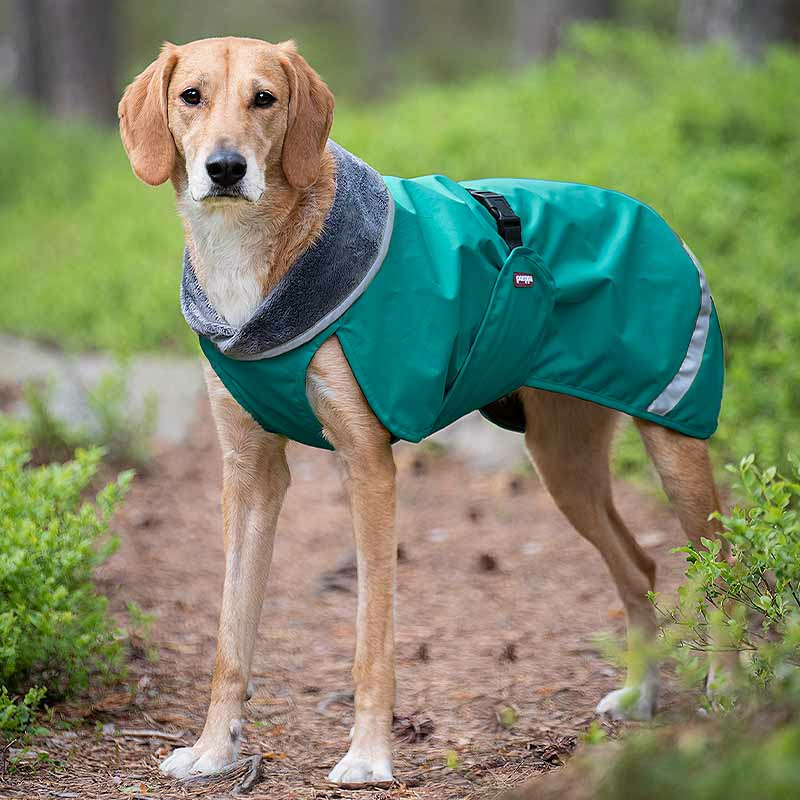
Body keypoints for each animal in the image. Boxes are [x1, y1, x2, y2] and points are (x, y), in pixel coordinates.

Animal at [119, 36, 724, 780]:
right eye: (191, 96)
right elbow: (231, 636)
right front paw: (213, 749)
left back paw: (728, 688)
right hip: (565, 464)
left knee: (725, 568)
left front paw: (368, 756)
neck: (257, 260)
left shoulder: (367, 465)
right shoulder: (248, 473)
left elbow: (372, 639)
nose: (226, 169)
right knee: (640, 567)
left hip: (675, 439)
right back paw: (641, 696)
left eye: (265, 98)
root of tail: (656, 216)